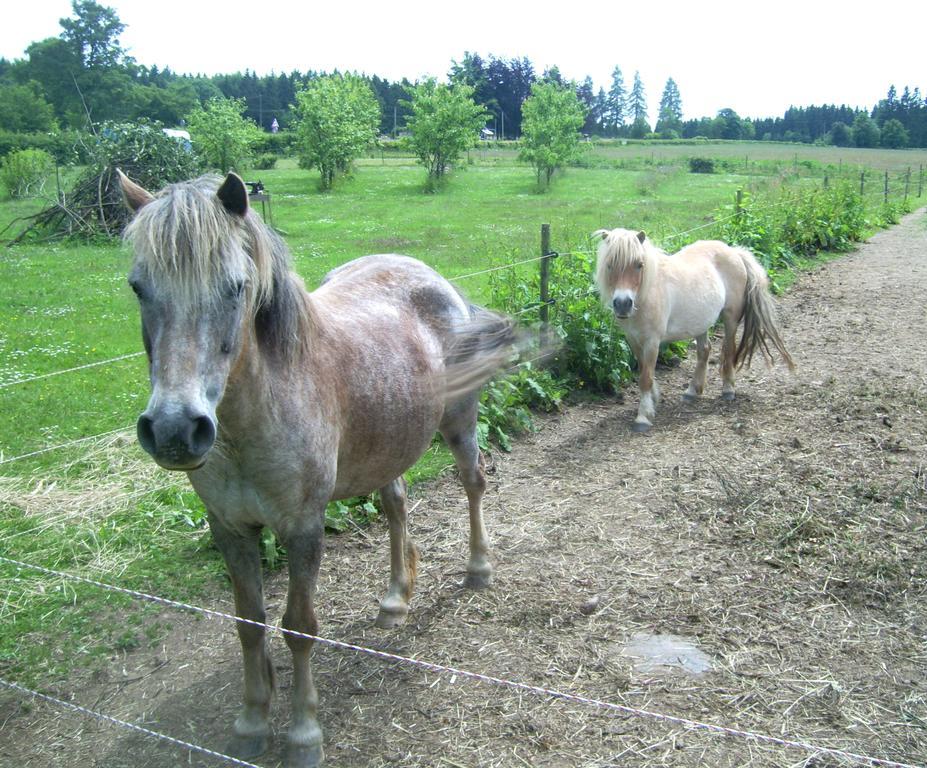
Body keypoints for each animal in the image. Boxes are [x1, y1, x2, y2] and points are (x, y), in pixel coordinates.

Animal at [118, 171, 516, 764]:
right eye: (139, 287)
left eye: (235, 287)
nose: (174, 429)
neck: (254, 418)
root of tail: (434, 278)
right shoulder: (229, 528)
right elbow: (249, 624)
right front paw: (251, 721)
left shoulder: (302, 529)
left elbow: (298, 627)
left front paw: (304, 734)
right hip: (387, 441)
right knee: (396, 505)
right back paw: (395, 598)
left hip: (460, 423)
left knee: (474, 484)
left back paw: (478, 568)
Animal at [600, 228, 792, 432]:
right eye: (609, 264)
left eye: (639, 265)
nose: (622, 304)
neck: (647, 292)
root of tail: (733, 251)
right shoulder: (634, 339)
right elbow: (644, 370)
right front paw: (654, 399)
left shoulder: (652, 342)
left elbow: (646, 377)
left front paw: (643, 417)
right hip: (701, 322)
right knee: (704, 351)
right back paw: (692, 391)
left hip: (730, 319)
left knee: (729, 350)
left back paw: (728, 389)